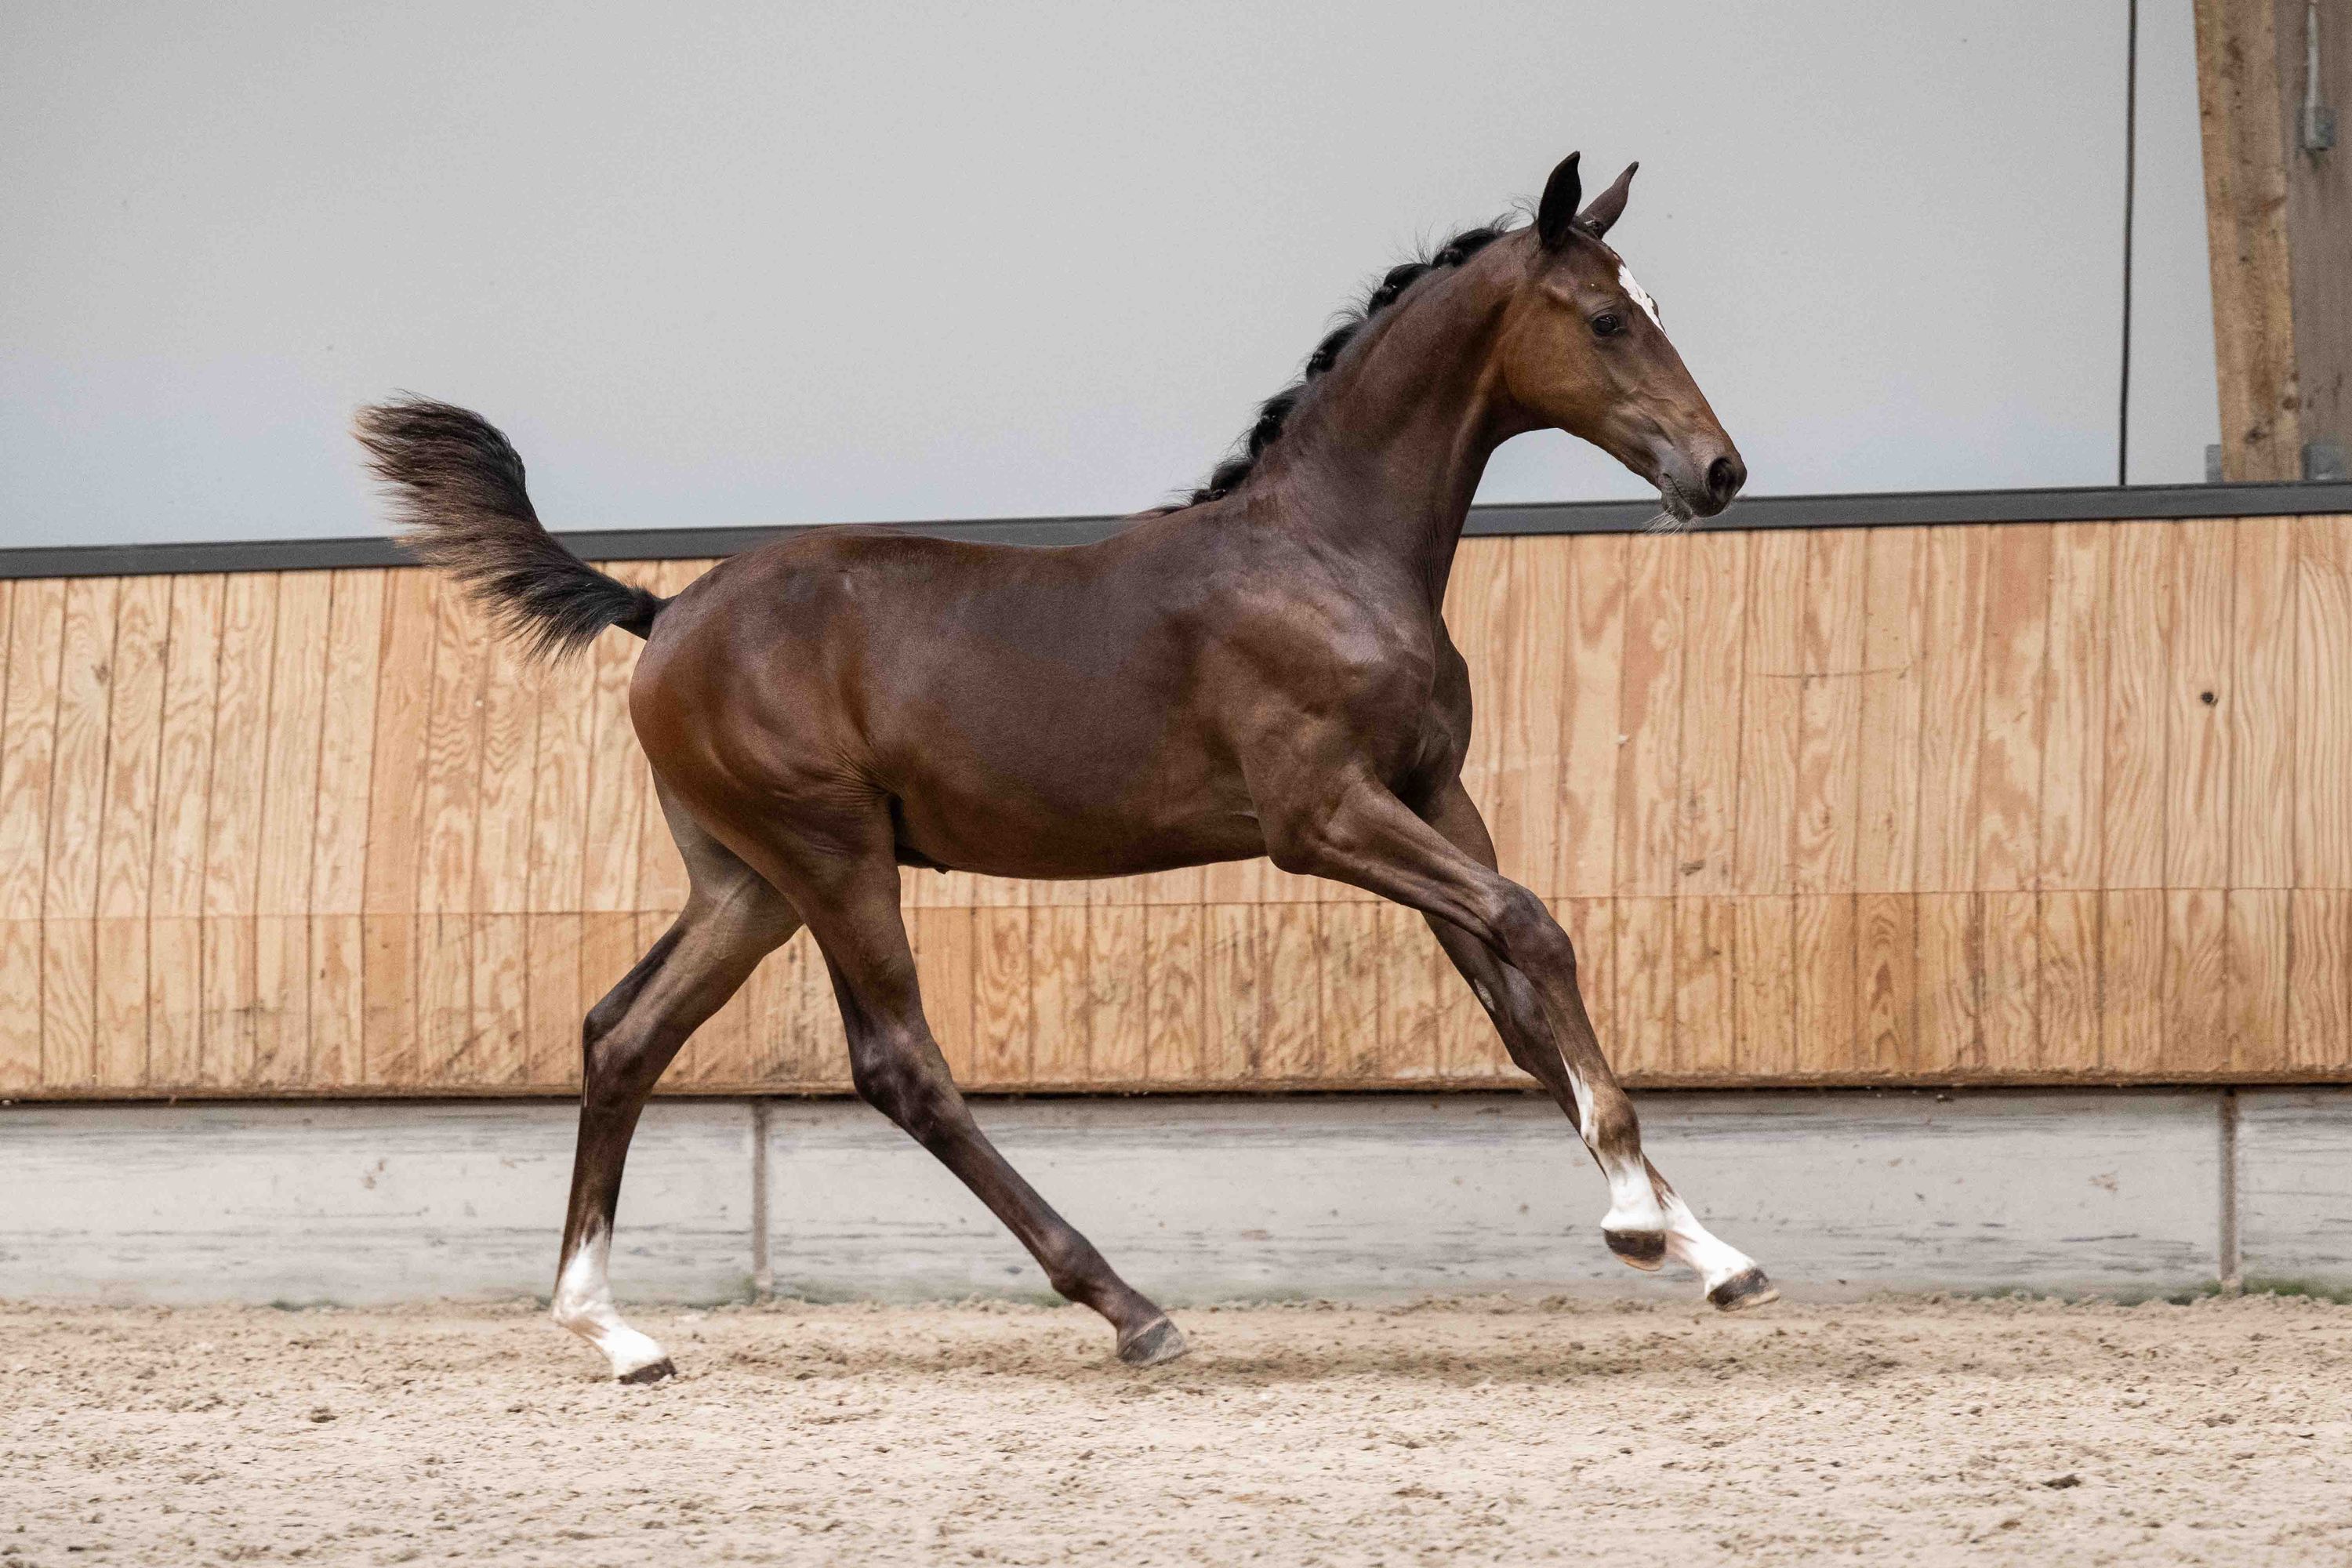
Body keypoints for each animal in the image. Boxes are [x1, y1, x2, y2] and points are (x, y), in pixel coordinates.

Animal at [357, 151, 1768, 1383]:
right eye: (1606, 319)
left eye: (1655, 310)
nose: (1719, 471)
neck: (1327, 554)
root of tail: (659, 615)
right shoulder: (1325, 817)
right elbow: (1534, 929)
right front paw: (1637, 1223)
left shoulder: (1432, 794)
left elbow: (1522, 1006)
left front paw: (1710, 1251)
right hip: (831, 854)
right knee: (899, 1065)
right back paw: (1131, 1310)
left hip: (748, 883)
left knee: (623, 1033)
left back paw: (616, 1334)